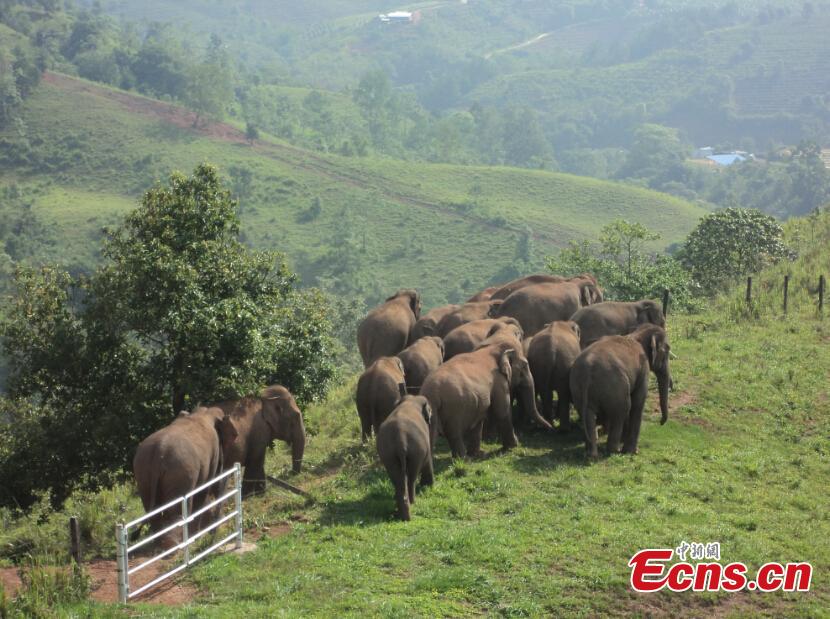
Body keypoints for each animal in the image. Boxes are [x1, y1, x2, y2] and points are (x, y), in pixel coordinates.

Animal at [133, 408, 238, 544]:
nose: (213, 534)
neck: (204, 412)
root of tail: (158, 454)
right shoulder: (214, 452)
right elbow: (206, 486)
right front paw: (198, 535)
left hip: (143, 473)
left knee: (152, 510)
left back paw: (160, 543)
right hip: (180, 474)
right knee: (179, 508)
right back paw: (177, 543)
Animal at [421, 340, 552, 458]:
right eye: (525, 366)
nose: (551, 427)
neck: (494, 347)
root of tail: (432, 392)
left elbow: (479, 421)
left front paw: (478, 454)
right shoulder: (499, 382)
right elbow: (503, 412)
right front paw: (513, 446)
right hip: (454, 408)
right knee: (454, 433)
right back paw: (464, 459)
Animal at [569, 324, 671, 458]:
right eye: (667, 351)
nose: (661, 422)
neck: (638, 333)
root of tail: (587, 370)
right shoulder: (643, 368)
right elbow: (638, 402)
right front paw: (632, 452)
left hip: (578, 389)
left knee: (587, 415)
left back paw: (591, 455)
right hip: (614, 386)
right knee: (622, 409)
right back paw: (614, 450)